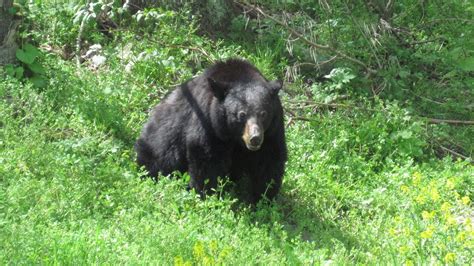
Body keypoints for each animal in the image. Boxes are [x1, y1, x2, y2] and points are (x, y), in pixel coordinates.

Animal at [135, 58, 286, 203]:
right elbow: (206, 158)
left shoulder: (272, 130)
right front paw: (208, 195)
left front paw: (263, 198)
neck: (234, 138)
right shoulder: (208, 123)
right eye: (241, 114)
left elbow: (269, 160)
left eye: (263, 114)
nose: (255, 138)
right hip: (157, 143)